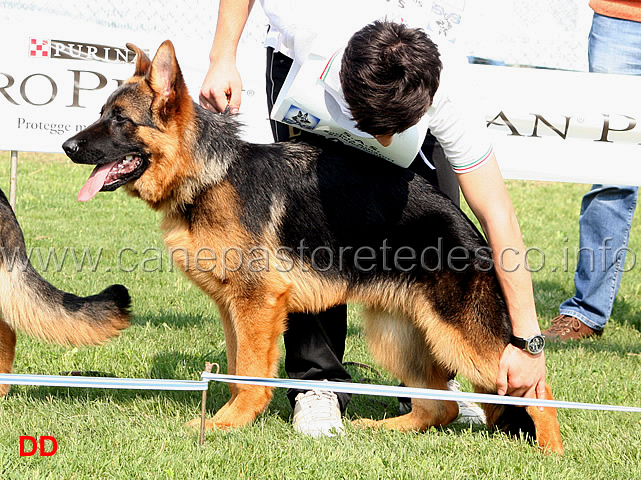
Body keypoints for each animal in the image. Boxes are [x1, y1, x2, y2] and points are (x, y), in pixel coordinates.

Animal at [62, 41, 564, 454]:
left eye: (120, 119)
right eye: (101, 112)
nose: (67, 146)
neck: (209, 175)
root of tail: (470, 232)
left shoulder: (258, 303)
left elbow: (249, 372)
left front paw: (228, 423)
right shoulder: (233, 307)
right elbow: (234, 368)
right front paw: (225, 419)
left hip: (461, 336)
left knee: (536, 388)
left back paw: (552, 452)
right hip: (396, 333)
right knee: (439, 405)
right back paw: (385, 429)